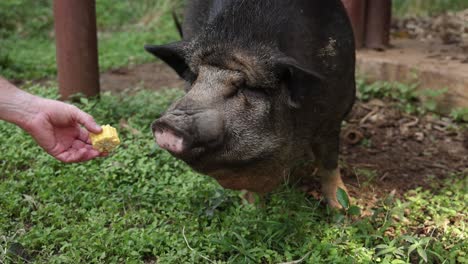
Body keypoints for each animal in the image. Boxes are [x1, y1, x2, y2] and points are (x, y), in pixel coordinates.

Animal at [145, 0, 354, 207]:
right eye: (195, 78)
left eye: (243, 86)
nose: (168, 123)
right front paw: (250, 206)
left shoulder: (335, 114)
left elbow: (329, 163)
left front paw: (342, 207)